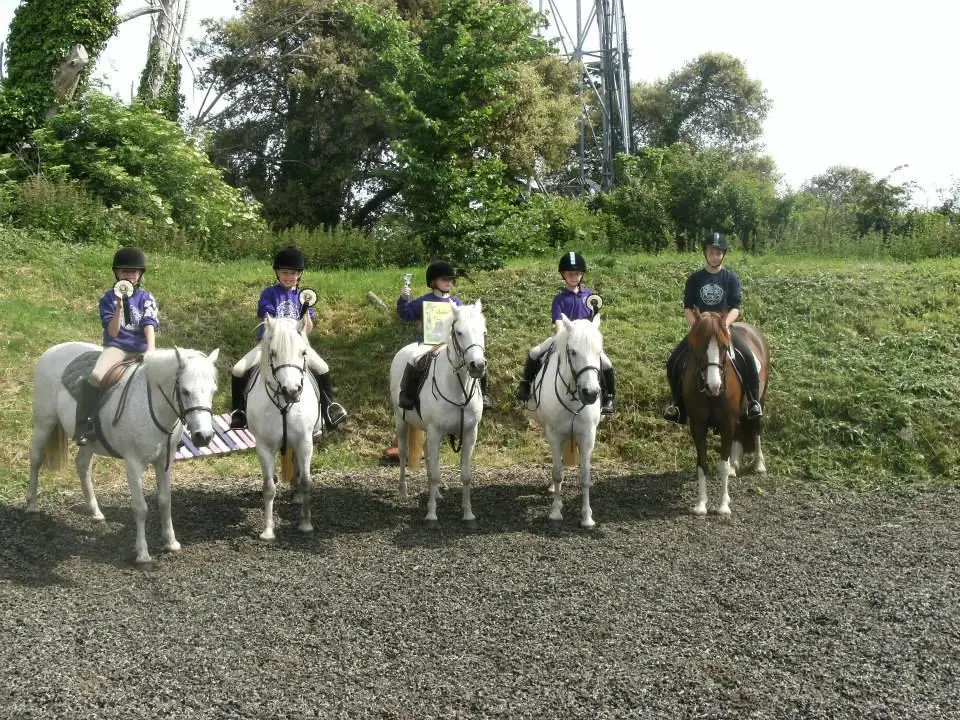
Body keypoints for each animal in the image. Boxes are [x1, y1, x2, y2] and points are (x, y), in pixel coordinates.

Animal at [27, 342, 220, 563]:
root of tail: (53, 349)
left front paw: (171, 543)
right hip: (44, 423)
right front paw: (143, 554)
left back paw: (95, 512)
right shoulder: (133, 464)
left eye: (213, 391)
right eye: (185, 391)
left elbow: (165, 501)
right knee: (36, 459)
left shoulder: (164, 462)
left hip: (88, 444)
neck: (150, 405)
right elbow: (141, 508)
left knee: (82, 467)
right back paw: (31, 504)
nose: (204, 436)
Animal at [245, 315, 319, 540]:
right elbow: (269, 487)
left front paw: (306, 524)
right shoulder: (264, 447)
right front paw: (268, 530)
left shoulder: (305, 442)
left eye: (303, 352)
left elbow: (306, 481)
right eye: (273, 353)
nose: (292, 391)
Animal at [389, 300, 487, 527]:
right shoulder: (435, 431)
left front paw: (468, 513)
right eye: (459, 332)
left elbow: (466, 475)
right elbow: (434, 473)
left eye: (483, 332)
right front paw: (432, 514)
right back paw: (403, 491)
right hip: (401, 421)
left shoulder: (470, 433)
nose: (478, 366)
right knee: (403, 454)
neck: (457, 388)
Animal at [524, 314, 604, 528]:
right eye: (573, 352)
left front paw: (587, 517)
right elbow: (557, 473)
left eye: (599, 351)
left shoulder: (588, 437)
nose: (590, 393)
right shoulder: (554, 434)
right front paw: (555, 511)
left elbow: (585, 476)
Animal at [682, 309, 769, 516]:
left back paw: (759, 464)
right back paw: (735, 464)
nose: (714, 386)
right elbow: (702, 463)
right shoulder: (697, 425)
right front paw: (701, 504)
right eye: (698, 347)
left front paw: (723, 506)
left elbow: (722, 465)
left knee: (756, 428)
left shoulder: (726, 422)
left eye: (723, 347)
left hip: (760, 399)